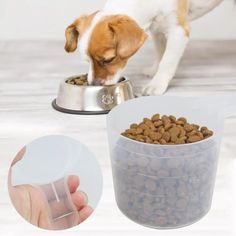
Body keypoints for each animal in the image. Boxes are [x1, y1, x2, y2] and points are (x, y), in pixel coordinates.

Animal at [64, 0, 223, 95]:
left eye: (109, 59)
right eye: (87, 61)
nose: (93, 85)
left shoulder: (178, 31)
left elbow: (167, 62)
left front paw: (157, 84)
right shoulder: (157, 31)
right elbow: (160, 53)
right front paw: (154, 71)